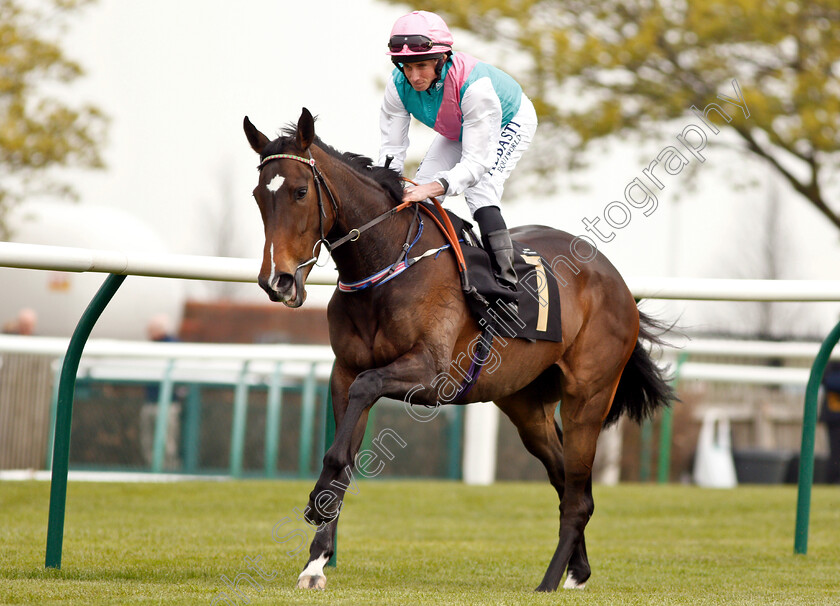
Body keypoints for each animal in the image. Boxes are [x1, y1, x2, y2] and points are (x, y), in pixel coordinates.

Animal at [243, 108, 676, 592]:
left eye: (300, 192)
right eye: (259, 195)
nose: (277, 281)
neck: (387, 266)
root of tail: (618, 282)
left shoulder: (431, 376)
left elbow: (351, 426)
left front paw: (315, 501)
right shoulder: (345, 372)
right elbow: (346, 453)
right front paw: (316, 563)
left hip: (589, 397)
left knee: (578, 496)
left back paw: (549, 582)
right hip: (527, 407)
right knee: (568, 482)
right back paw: (577, 573)